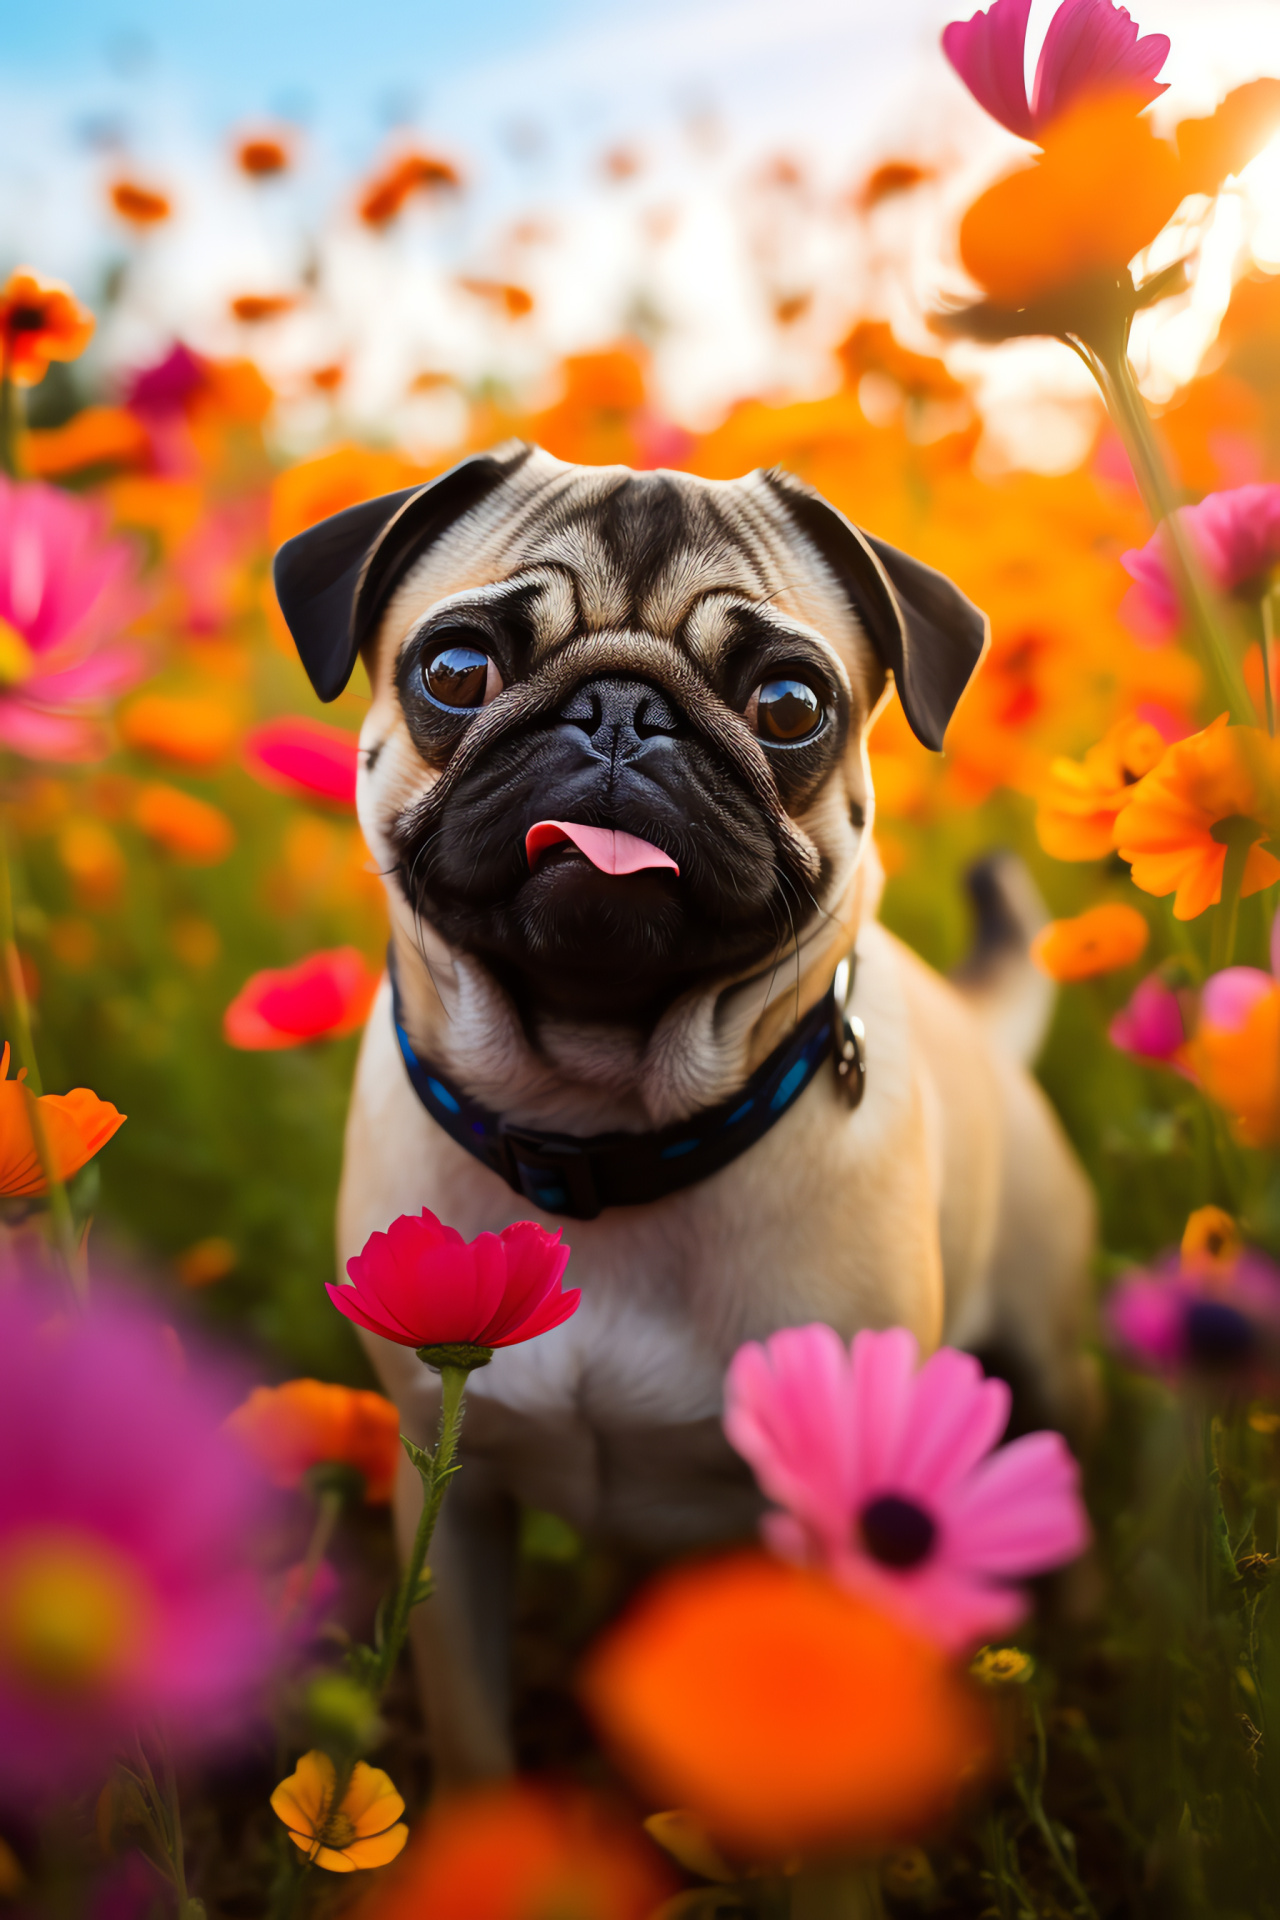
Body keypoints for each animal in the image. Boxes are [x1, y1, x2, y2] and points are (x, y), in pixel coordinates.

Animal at [276, 445, 1097, 1781]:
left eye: (789, 705)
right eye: (455, 670)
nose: (619, 712)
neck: (600, 1137)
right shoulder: (451, 1494)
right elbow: (473, 1730)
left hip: (1040, 1346)